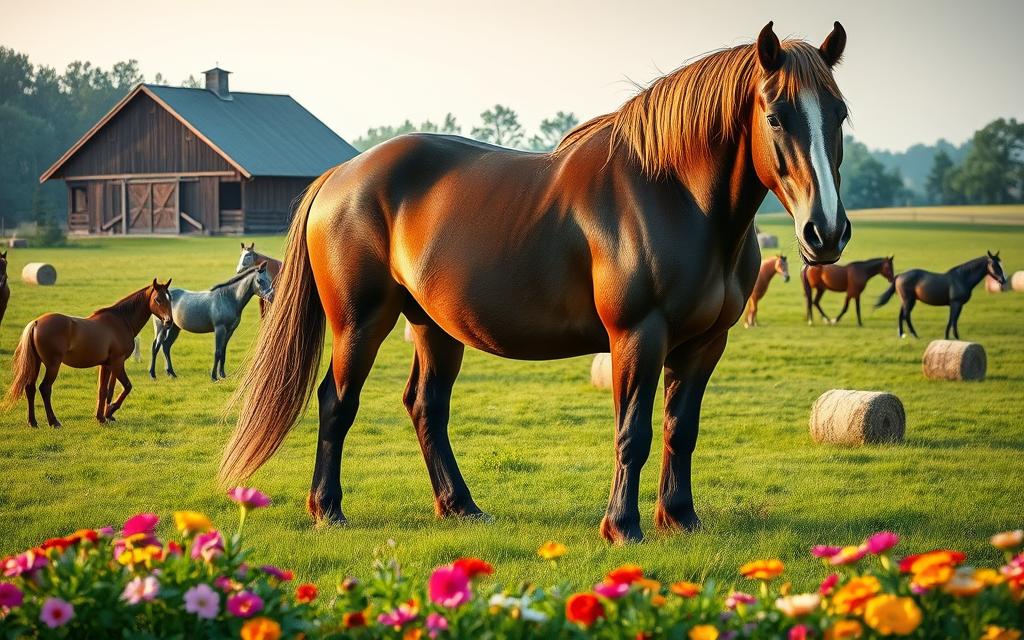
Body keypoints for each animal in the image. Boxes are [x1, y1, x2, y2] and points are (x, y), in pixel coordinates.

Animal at [5, 278, 172, 423]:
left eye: (170, 299)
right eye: (158, 299)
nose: (168, 322)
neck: (121, 321)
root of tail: (36, 322)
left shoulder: (107, 365)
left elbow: (105, 390)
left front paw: (102, 417)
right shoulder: (117, 363)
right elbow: (127, 387)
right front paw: (110, 411)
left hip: (36, 363)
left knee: (30, 388)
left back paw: (32, 422)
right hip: (53, 365)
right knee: (45, 388)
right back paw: (54, 422)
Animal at [220, 22, 851, 540]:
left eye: (840, 114)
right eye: (775, 116)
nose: (825, 231)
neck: (674, 195)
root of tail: (340, 176)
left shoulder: (704, 344)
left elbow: (682, 428)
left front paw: (680, 517)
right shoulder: (638, 336)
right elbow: (634, 431)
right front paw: (622, 526)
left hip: (433, 326)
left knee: (427, 407)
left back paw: (460, 506)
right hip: (360, 322)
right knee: (337, 402)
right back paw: (327, 509)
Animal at [872, 249, 1007, 339]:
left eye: (1001, 263)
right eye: (994, 264)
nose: (1003, 280)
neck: (962, 278)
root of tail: (900, 275)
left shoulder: (958, 305)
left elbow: (953, 320)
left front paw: (951, 337)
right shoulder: (955, 304)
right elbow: (952, 320)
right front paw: (951, 337)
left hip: (906, 300)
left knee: (901, 315)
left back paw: (901, 334)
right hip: (909, 300)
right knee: (906, 315)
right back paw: (914, 335)